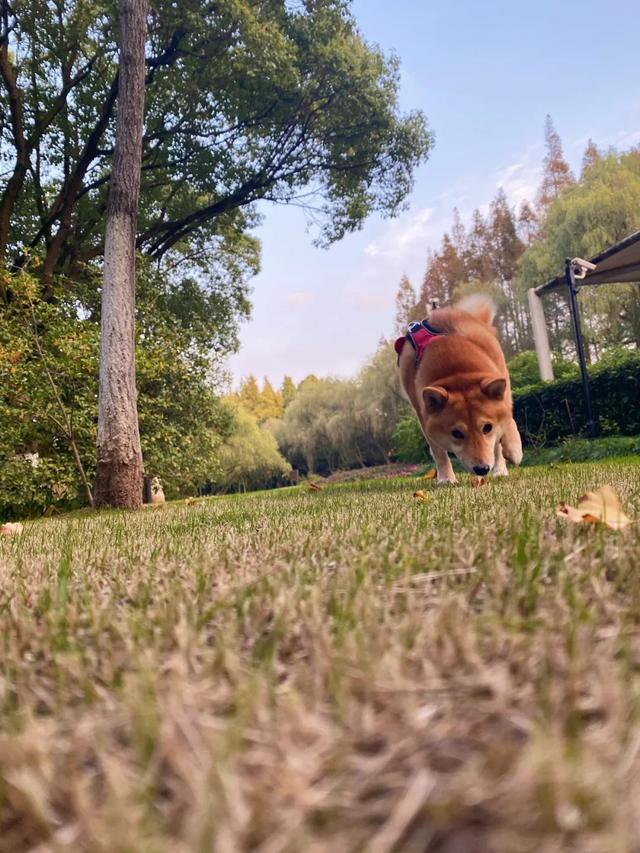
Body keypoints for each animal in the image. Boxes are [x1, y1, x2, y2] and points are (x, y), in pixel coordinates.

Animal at [396, 292, 524, 482]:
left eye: (487, 428)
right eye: (456, 434)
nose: (482, 469)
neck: (458, 372)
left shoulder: (503, 390)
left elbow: (507, 421)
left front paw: (514, 448)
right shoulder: (424, 417)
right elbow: (439, 453)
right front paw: (446, 478)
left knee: (497, 445)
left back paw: (500, 469)